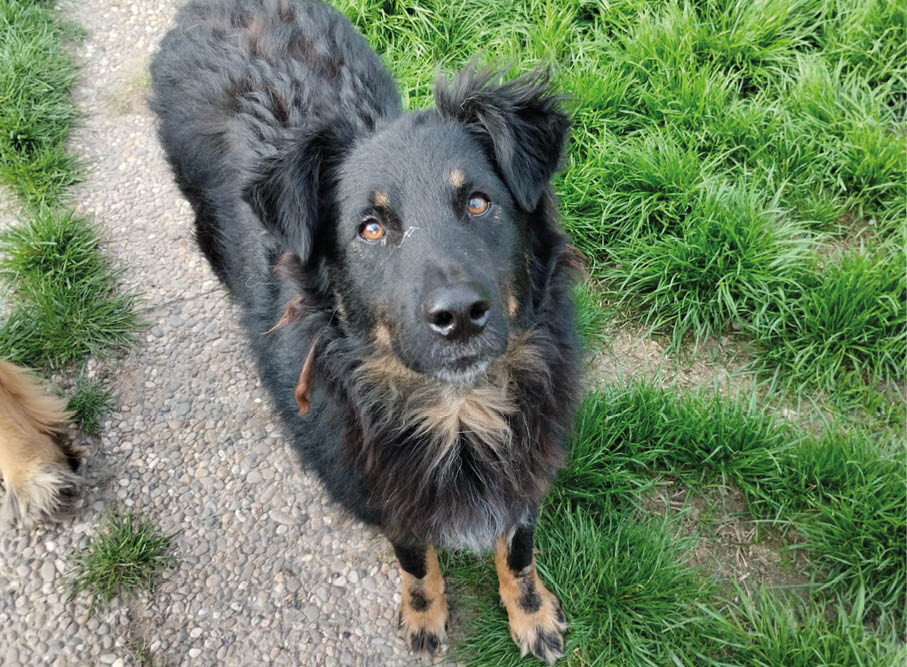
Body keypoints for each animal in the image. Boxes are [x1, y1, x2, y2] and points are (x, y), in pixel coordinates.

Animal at [147, 0, 576, 664]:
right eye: (370, 228)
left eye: (479, 203)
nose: (459, 315)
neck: (457, 411)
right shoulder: (377, 486)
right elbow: (416, 560)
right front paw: (425, 616)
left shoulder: (527, 457)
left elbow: (518, 548)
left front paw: (530, 613)